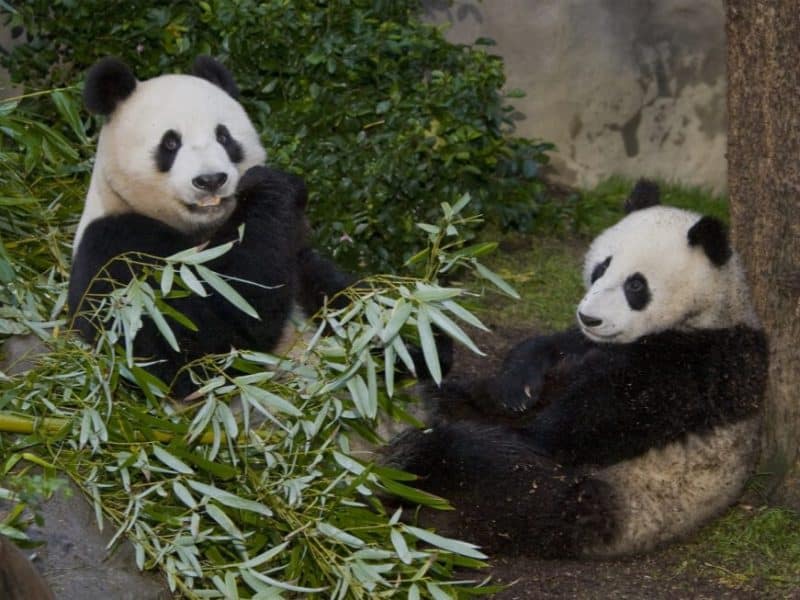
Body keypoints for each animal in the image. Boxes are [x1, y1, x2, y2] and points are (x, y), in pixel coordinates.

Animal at [68, 56, 351, 397]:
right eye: (170, 143)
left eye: (224, 137)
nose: (210, 180)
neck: (201, 229)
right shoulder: (115, 251)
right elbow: (191, 347)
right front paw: (271, 186)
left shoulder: (294, 252)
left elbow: (337, 294)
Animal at [385, 180, 768, 558]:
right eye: (601, 267)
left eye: (636, 285)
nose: (590, 317)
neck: (711, 309)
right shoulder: (588, 343)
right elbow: (548, 349)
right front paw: (517, 388)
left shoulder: (702, 361)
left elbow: (595, 419)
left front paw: (532, 429)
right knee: (455, 398)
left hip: (573, 500)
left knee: (473, 466)